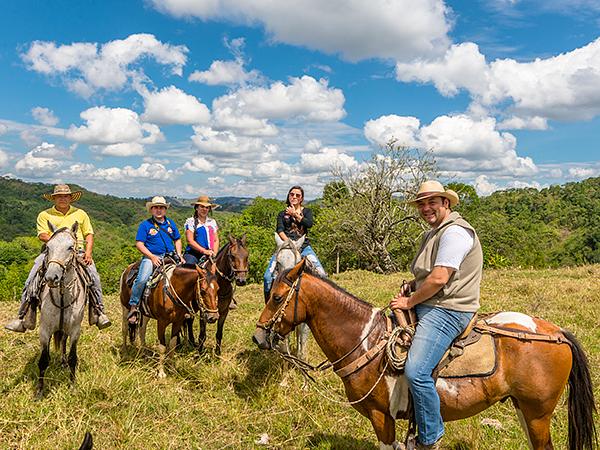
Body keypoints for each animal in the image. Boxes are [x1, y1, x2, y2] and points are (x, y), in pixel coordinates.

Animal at [36, 221, 88, 398]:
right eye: (48, 247)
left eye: (70, 247)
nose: (52, 277)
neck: (62, 296)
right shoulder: (44, 330)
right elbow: (43, 360)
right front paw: (39, 391)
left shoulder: (75, 330)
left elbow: (73, 357)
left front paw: (72, 385)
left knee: (64, 342)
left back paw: (63, 362)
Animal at [252, 260, 596, 450]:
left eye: (278, 297)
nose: (258, 337)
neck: (365, 341)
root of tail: (557, 332)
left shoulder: (381, 416)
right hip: (524, 409)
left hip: (537, 413)